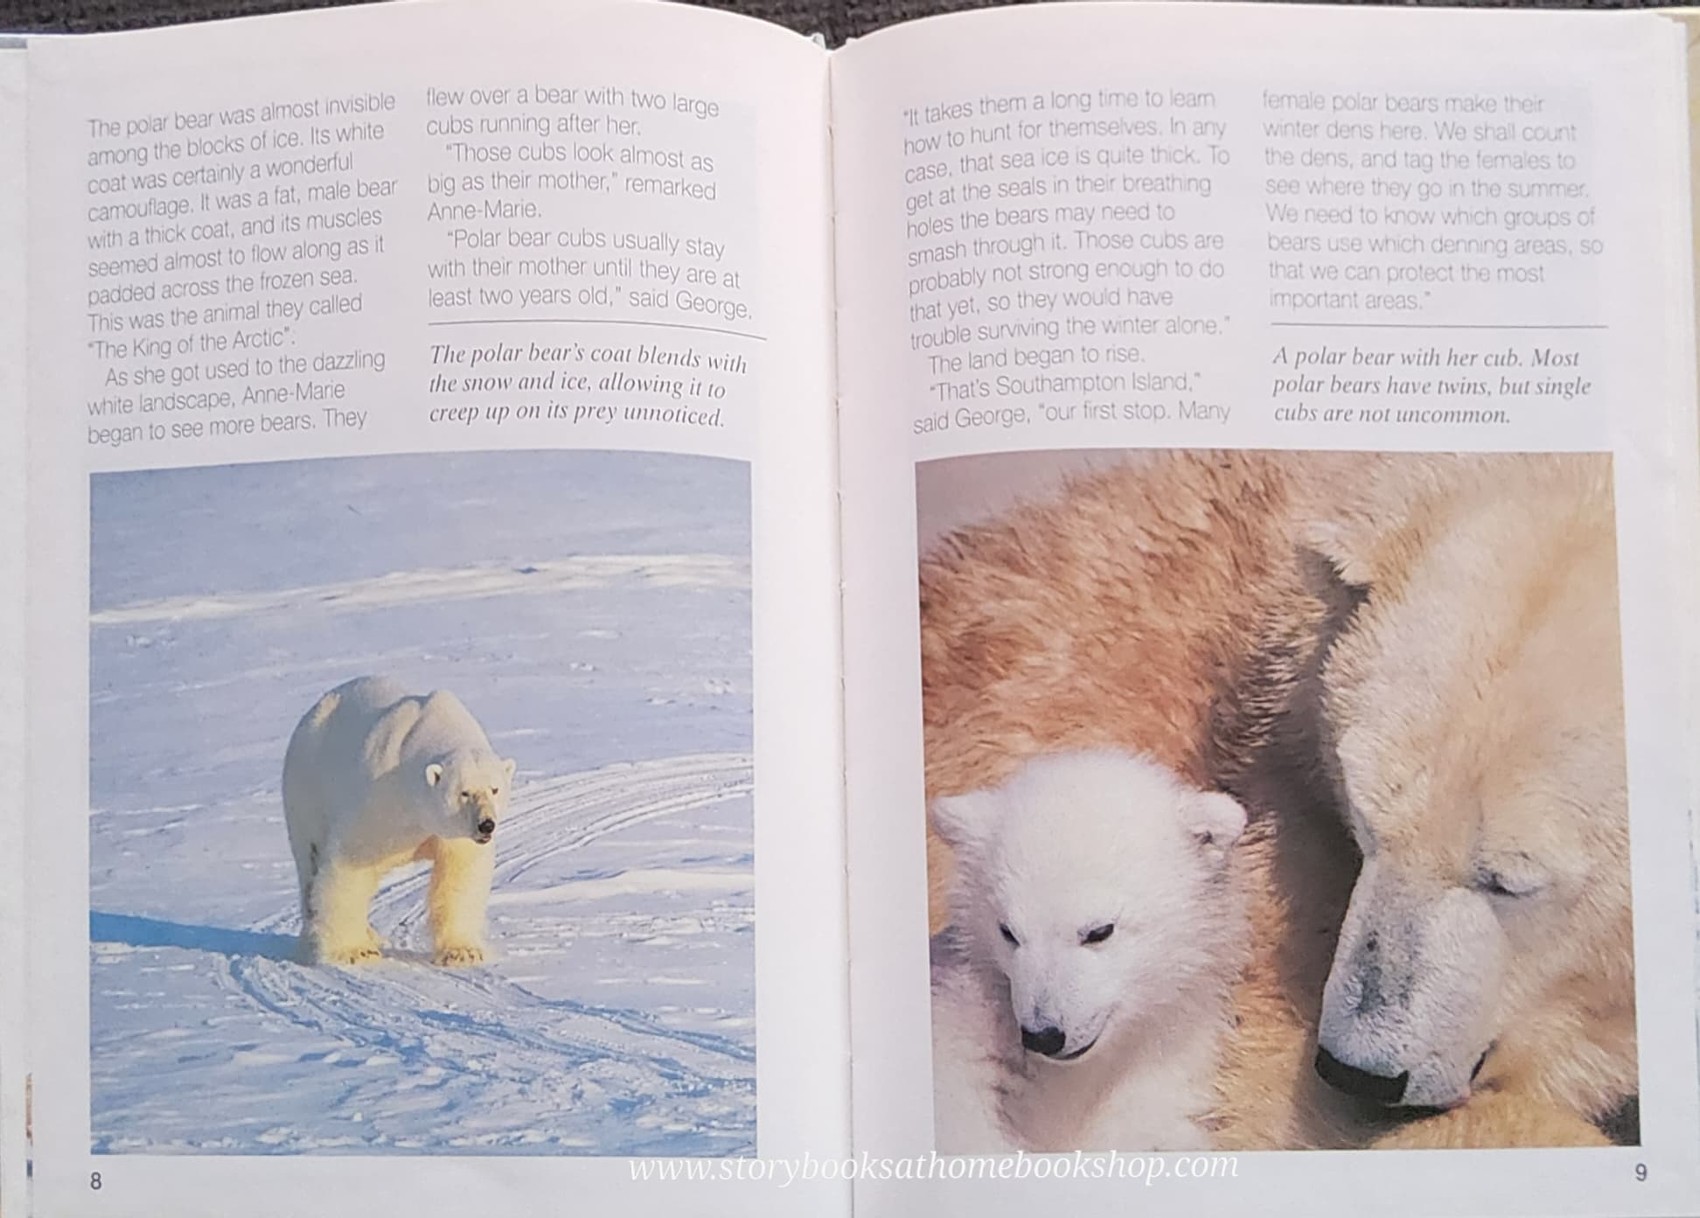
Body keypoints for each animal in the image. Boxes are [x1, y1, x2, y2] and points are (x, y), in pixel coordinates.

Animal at [281, 675, 516, 968]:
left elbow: (461, 873)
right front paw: (354, 952)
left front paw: (463, 952)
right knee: (310, 866)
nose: (486, 824)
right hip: (306, 788)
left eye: (494, 789)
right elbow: (350, 864)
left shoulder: (454, 834)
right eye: (464, 793)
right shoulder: (381, 795)